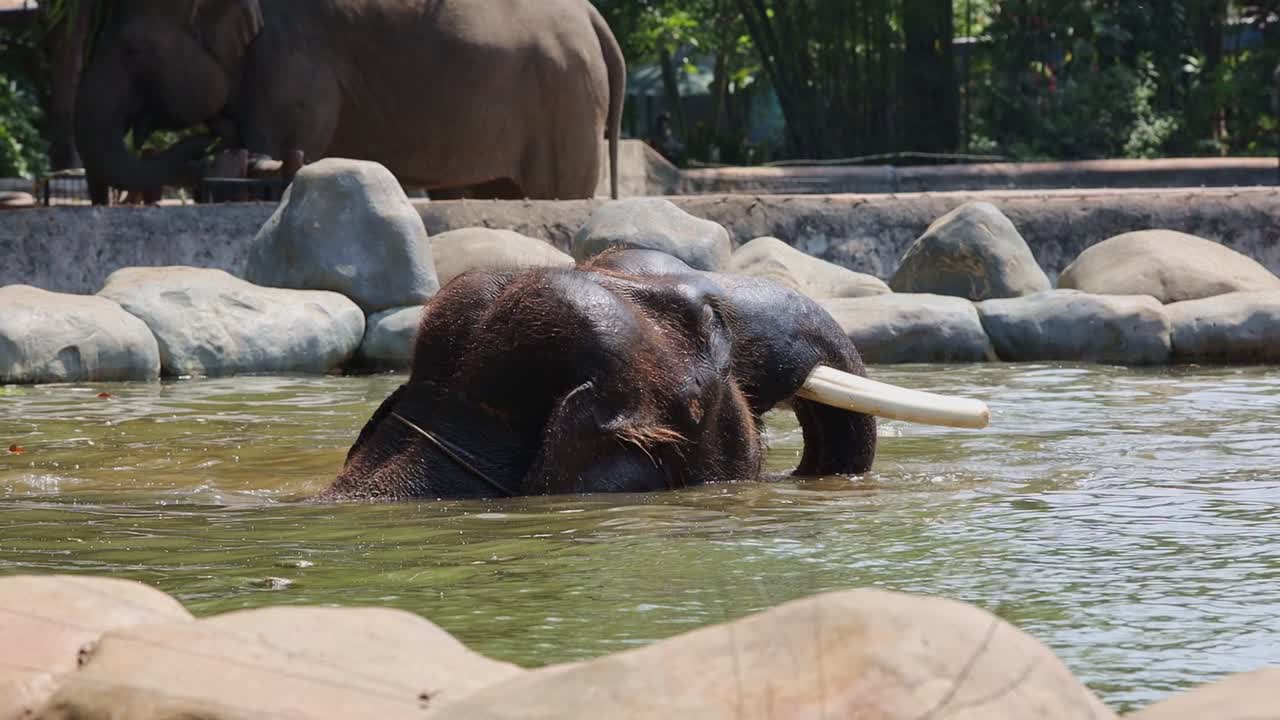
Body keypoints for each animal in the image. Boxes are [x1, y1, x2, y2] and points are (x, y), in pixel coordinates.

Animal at [74, 0, 625, 205]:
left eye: (133, 50)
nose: (200, 146)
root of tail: (595, 17)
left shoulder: (295, 60)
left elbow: (290, 136)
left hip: (565, 99)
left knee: (557, 190)